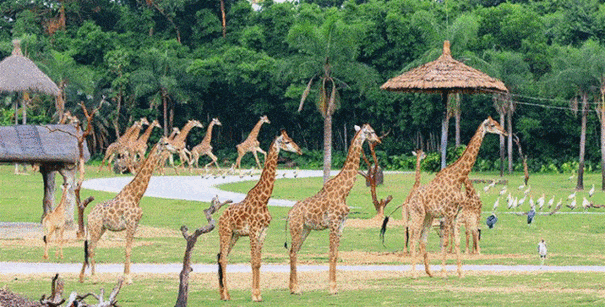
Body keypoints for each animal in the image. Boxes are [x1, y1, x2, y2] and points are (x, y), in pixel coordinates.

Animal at [79, 138, 175, 286]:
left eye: (169, 141)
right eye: (165, 143)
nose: (176, 149)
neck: (137, 196)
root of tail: (89, 215)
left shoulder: (135, 224)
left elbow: (129, 248)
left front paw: (125, 276)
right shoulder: (129, 223)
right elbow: (127, 249)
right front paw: (128, 278)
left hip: (101, 228)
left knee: (89, 247)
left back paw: (82, 277)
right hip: (96, 227)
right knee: (91, 248)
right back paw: (94, 277)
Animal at [217, 131, 302, 304]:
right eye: (287, 141)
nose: (299, 150)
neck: (264, 199)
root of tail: (220, 218)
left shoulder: (263, 231)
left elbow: (258, 262)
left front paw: (258, 294)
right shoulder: (253, 230)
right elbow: (253, 261)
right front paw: (254, 295)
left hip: (234, 235)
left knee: (223, 257)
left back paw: (223, 294)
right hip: (225, 233)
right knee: (223, 259)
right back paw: (227, 295)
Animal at [286, 124, 378, 296]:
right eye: (371, 132)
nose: (378, 140)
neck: (344, 191)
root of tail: (289, 214)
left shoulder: (341, 225)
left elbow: (336, 255)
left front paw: (335, 287)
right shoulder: (334, 223)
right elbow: (331, 254)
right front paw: (332, 288)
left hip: (305, 229)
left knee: (293, 251)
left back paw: (292, 288)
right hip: (297, 228)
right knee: (293, 252)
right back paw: (297, 289)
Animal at [406, 116, 504, 280]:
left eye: (497, 122)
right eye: (492, 125)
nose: (504, 132)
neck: (458, 179)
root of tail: (410, 199)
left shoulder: (456, 214)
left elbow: (457, 241)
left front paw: (460, 272)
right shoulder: (448, 213)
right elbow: (445, 242)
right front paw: (445, 273)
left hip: (428, 216)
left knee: (423, 239)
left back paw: (429, 272)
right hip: (417, 213)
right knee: (413, 238)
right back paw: (414, 274)